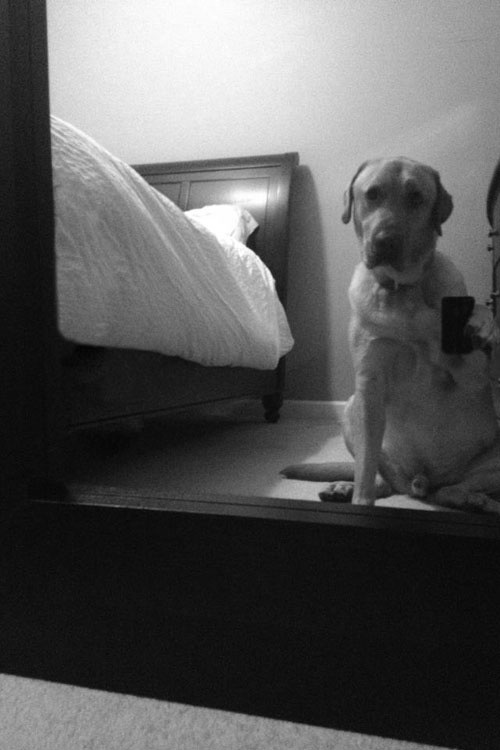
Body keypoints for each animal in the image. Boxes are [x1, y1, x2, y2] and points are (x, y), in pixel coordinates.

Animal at [283, 157, 500, 513]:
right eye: (372, 194)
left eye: (416, 197)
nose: (386, 240)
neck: (403, 290)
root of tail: (418, 482)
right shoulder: (369, 383)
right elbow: (365, 470)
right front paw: (360, 502)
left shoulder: (471, 376)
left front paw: (480, 321)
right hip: (352, 409)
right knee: (383, 480)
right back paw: (344, 487)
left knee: (453, 490)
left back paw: (477, 500)